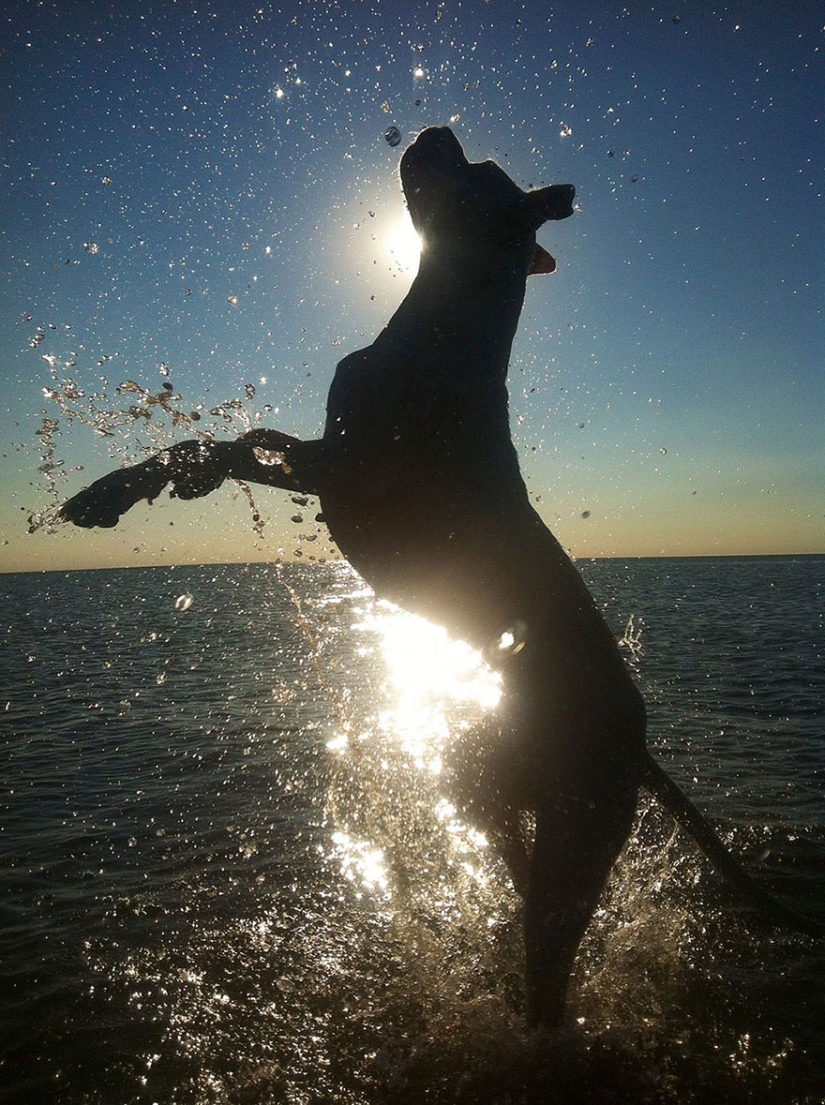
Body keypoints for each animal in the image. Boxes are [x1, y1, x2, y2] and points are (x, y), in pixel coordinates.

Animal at [61, 125, 821, 1021]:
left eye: (478, 170)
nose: (436, 131)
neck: (439, 328)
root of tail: (636, 743)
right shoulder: (322, 456)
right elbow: (249, 440)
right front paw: (148, 480)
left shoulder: (346, 472)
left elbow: (228, 445)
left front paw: (125, 488)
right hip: (481, 777)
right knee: (513, 867)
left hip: (575, 828)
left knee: (548, 962)